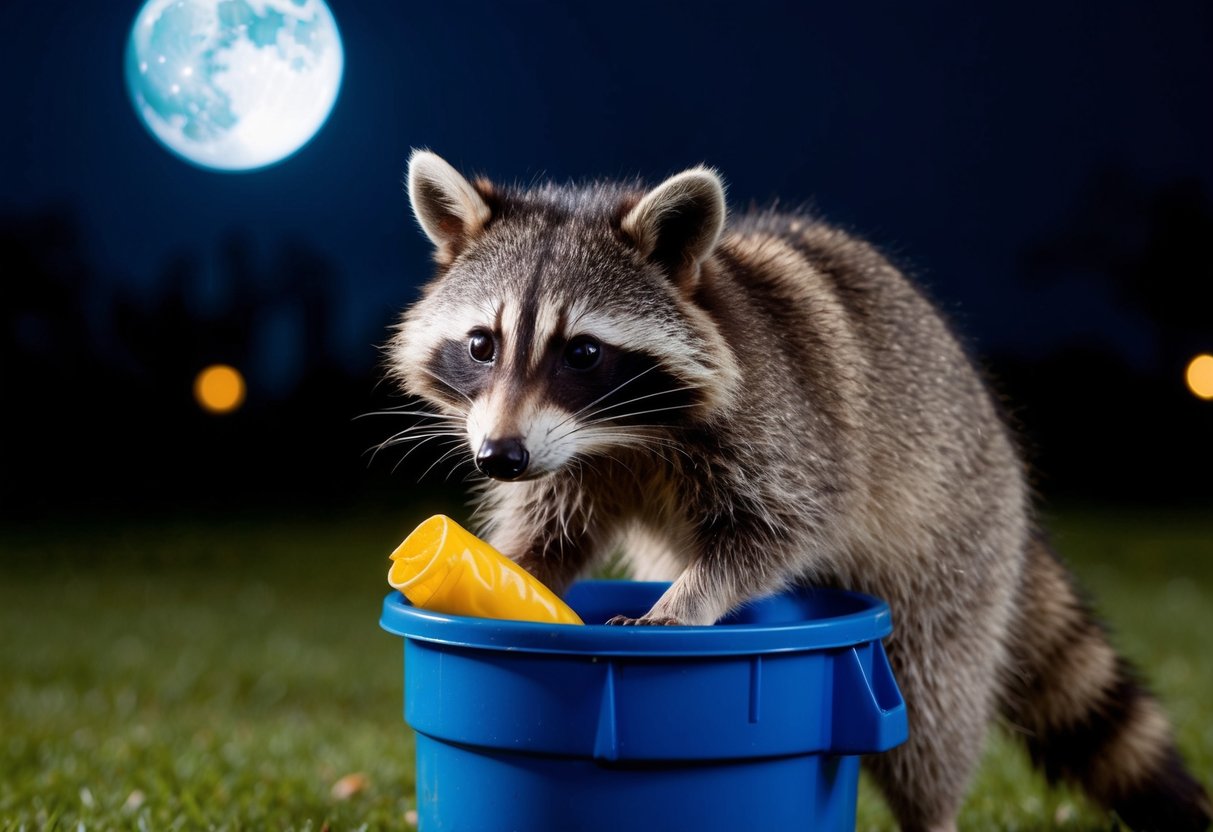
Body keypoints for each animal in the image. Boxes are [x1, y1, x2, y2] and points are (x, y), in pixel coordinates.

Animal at [386, 150, 1211, 832]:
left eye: (582, 353)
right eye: (481, 345)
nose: (498, 456)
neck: (619, 437)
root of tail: (1008, 473)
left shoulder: (784, 429)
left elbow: (779, 528)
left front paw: (686, 603)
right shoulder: (564, 464)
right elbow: (548, 537)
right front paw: (508, 578)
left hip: (953, 547)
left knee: (930, 705)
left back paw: (933, 811)